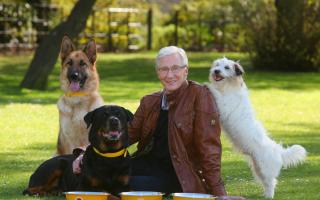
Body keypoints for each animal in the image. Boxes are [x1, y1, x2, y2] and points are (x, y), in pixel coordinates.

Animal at [206, 57, 306, 198]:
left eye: (226, 67)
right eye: (217, 65)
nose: (216, 71)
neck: (228, 87)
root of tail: (278, 150)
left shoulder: (225, 105)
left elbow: (215, 92)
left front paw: (206, 85)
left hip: (265, 169)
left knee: (271, 182)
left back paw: (269, 196)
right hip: (257, 168)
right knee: (266, 183)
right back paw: (264, 195)